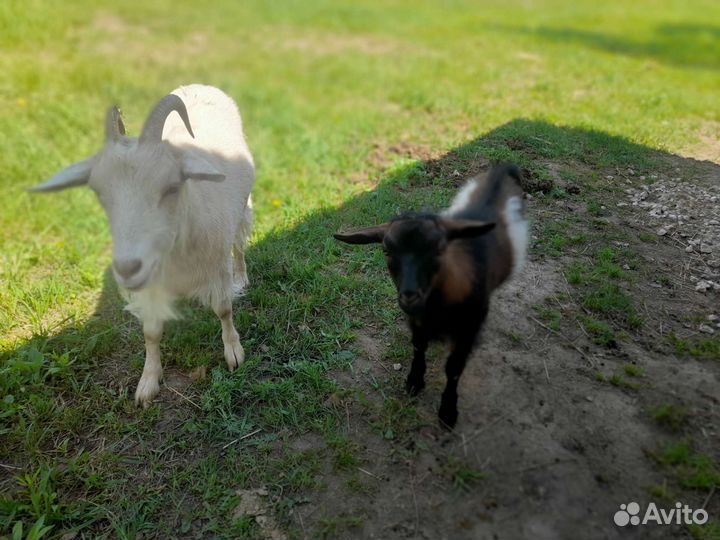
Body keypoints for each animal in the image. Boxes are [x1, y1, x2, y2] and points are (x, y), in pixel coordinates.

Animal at [29, 84, 255, 407]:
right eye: (98, 192)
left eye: (172, 186)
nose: (127, 269)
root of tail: (199, 86)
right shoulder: (151, 284)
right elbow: (151, 332)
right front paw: (148, 381)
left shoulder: (217, 267)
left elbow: (224, 310)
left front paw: (234, 352)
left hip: (242, 212)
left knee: (240, 242)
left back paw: (243, 276)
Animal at [334, 164, 528, 427]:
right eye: (386, 250)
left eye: (439, 248)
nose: (409, 296)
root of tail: (501, 169)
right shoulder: (416, 321)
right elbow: (418, 347)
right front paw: (414, 381)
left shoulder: (467, 331)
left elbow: (454, 369)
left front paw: (448, 410)